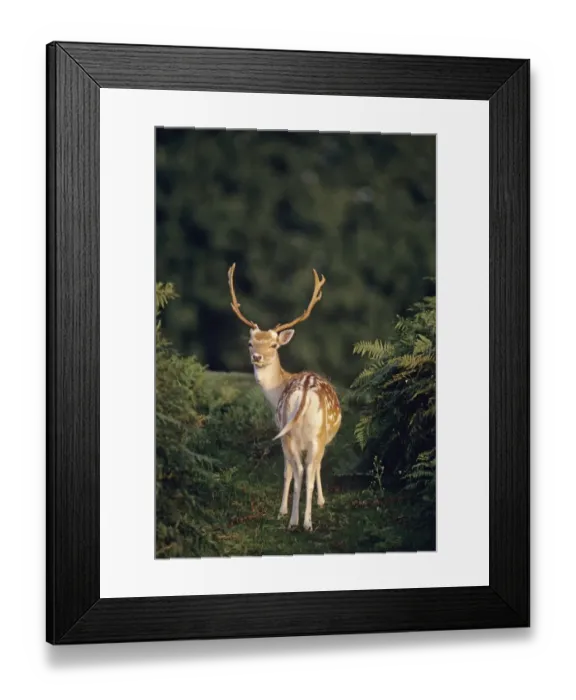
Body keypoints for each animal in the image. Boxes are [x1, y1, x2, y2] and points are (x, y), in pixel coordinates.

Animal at [227, 263, 342, 532]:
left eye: (274, 345)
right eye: (250, 343)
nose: (257, 357)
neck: (278, 388)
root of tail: (306, 388)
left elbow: (294, 470)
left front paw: (286, 510)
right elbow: (304, 469)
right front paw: (304, 506)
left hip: (296, 434)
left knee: (300, 470)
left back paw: (297, 521)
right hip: (306, 435)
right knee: (304, 470)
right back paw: (302, 522)